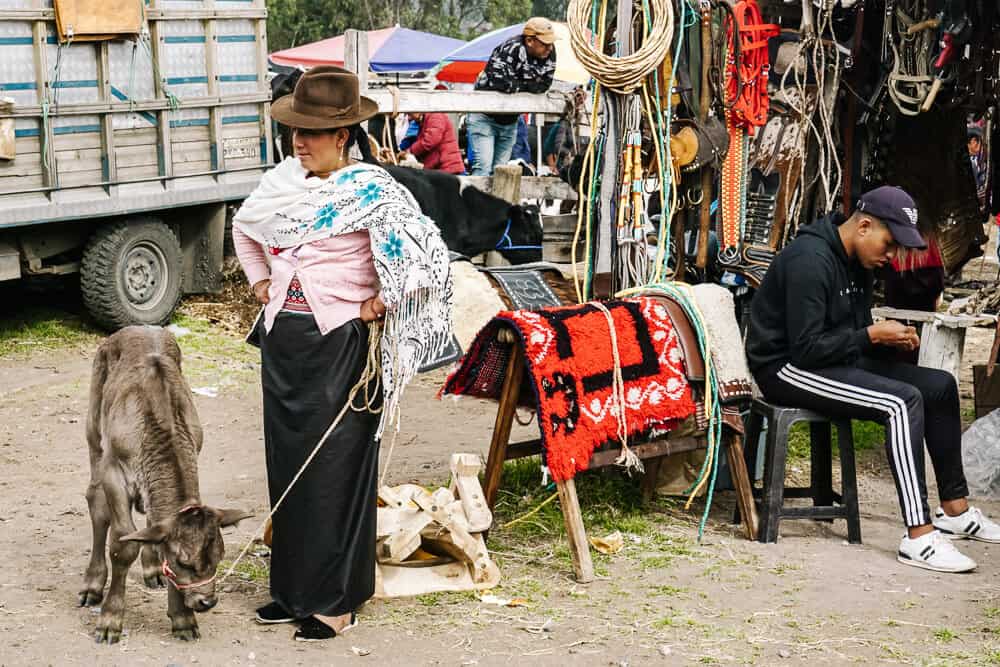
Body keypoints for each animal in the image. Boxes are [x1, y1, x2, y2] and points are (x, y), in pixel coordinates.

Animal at [78, 326, 250, 644]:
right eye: (184, 562)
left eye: (219, 556)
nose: (206, 601)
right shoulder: (113, 471)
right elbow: (122, 544)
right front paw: (110, 621)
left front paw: (183, 618)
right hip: (94, 426)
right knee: (95, 500)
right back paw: (92, 585)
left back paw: (152, 569)